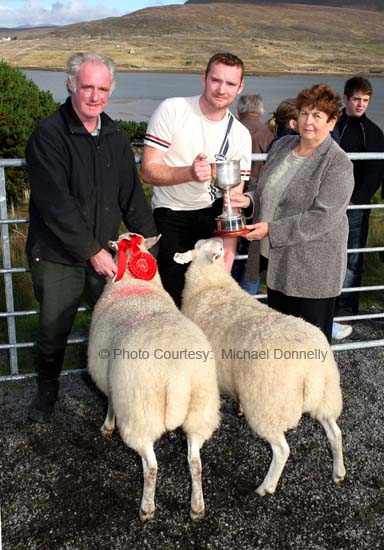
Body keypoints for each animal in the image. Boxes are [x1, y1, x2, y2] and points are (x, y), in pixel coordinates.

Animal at [87, 233, 219, 520]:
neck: (135, 284)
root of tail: (178, 374)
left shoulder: (113, 382)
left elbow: (110, 403)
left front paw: (107, 426)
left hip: (141, 412)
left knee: (151, 467)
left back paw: (146, 508)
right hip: (200, 408)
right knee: (195, 462)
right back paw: (197, 507)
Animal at [176, 239, 346, 498]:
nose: (220, 242)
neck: (212, 285)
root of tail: (311, 368)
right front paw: (238, 407)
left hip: (268, 407)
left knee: (282, 450)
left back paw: (266, 487)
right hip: (326, 397)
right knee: (335, 433)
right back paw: (339, 472)